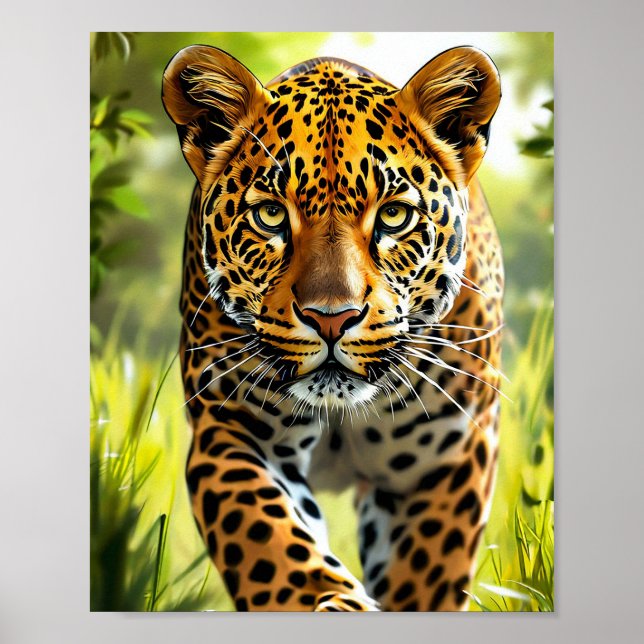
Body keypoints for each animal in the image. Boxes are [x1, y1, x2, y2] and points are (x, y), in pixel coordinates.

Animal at [162, 43, 503, 612]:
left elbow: (424, 575)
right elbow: (274, 548)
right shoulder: (232, 430)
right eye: (271, 215)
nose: (331, 318)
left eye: (393, 217)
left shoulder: (448, 453)